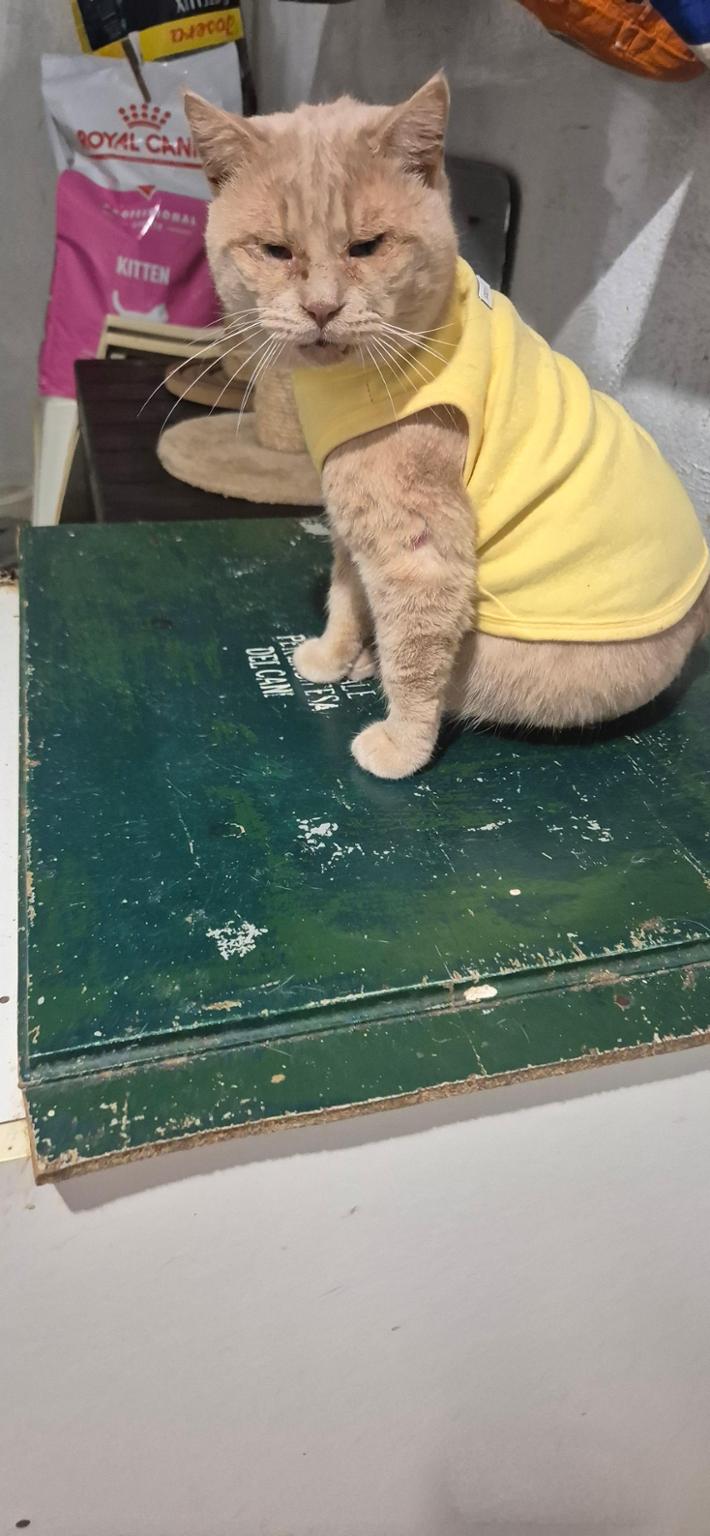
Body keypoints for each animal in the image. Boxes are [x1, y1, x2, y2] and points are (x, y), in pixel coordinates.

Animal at [184, 77, 709, 781]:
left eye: (367, 247)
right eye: (276, 251)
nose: (321, 308)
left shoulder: (416, 553)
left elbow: (411, 659)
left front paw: (401, 746)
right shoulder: (351, 519)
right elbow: (346, 597)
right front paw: (332, 654)